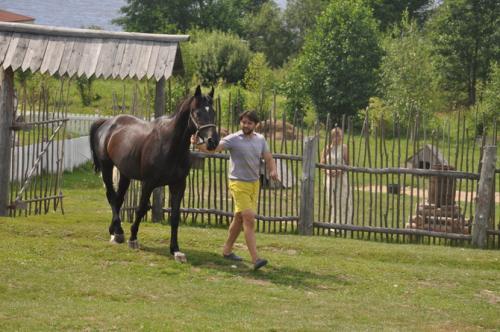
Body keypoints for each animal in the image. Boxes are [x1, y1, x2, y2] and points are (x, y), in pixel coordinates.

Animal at [89, 85, 218, 262]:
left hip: (125, 174)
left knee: (118, 199)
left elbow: (175, 217)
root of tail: (107, 122)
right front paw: (133, 238)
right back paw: (119, 232)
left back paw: (114, 231)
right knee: (111, 196)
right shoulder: (148, 183)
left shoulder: (178, 185)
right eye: (198, 113)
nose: (213, 141)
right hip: (107, 167)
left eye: (213, 112)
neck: (170, 145)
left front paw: (175, 249)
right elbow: (141, 208)